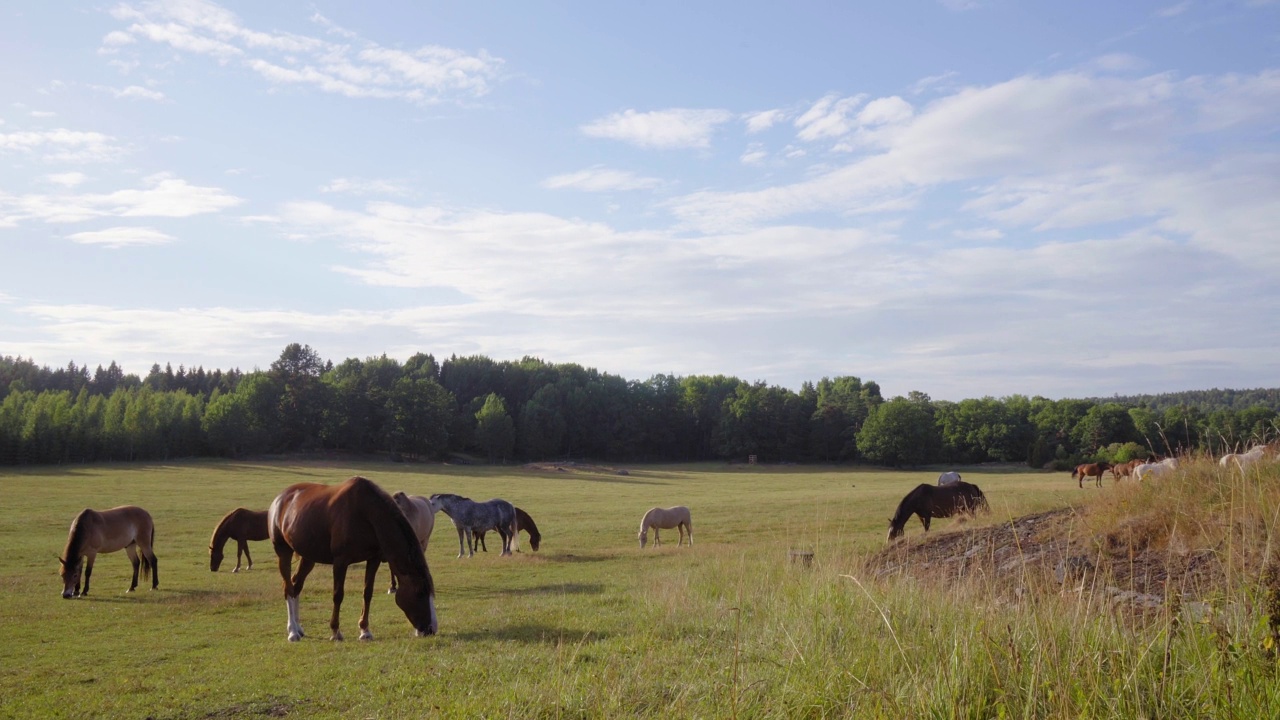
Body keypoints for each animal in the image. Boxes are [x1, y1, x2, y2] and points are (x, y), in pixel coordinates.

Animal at [267, 476, 437, 638]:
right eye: (420, 592)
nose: (431, 629)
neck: (365, 513)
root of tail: (281, 498)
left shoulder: (373, 559)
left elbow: (367, 593)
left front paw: (365, 630)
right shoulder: (340, 562)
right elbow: (338, 595)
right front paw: (335, 631)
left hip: (308, 557)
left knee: (296, 585)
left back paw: (299, 628)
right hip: (283, 551)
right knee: (288, 587)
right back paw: (292, 631)